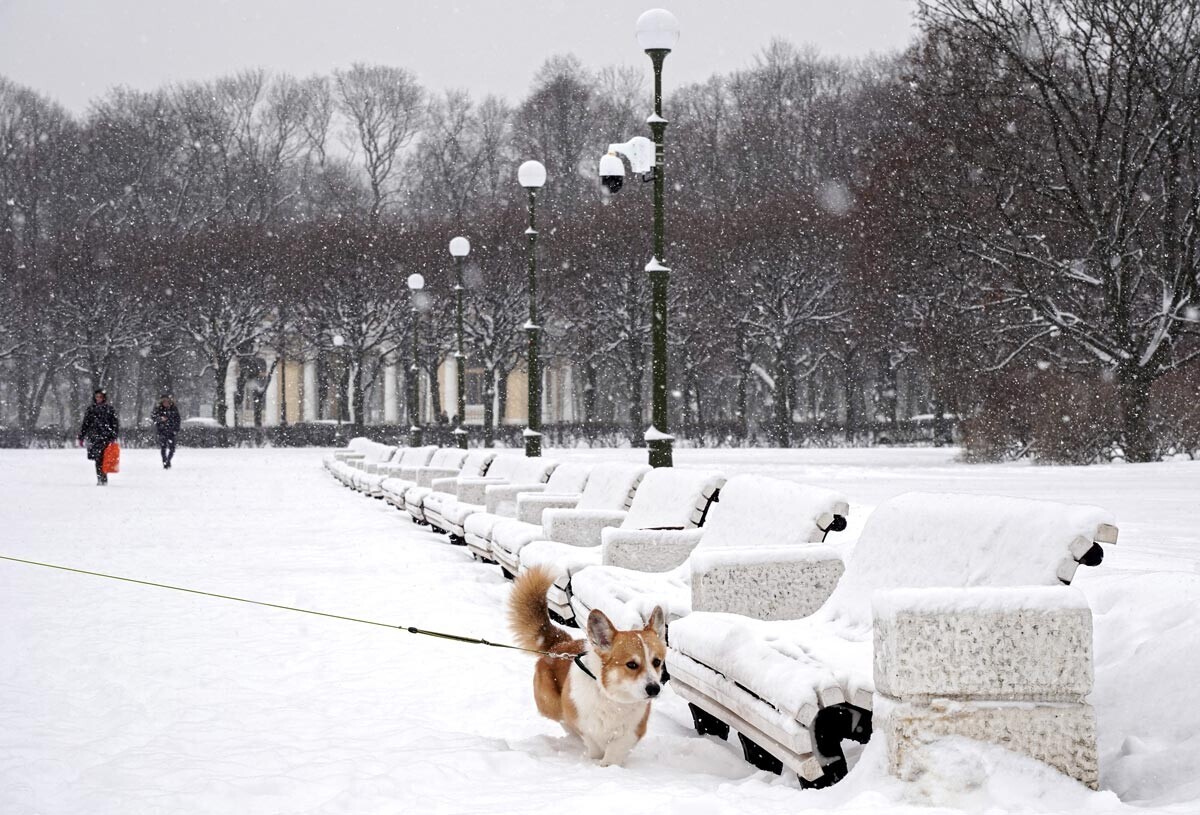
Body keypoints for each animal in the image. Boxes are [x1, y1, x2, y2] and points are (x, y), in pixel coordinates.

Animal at [506, 564, 667, 768]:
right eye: (631, 664)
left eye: (657, 662)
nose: (654, 689)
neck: (612, 698)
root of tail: (559, 644)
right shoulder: (584, 724)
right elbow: (593, 743)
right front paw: (598, 762)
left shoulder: (633, 730)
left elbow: (616, 749)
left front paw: (608, 765)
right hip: (551, 705)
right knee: (562, 719)